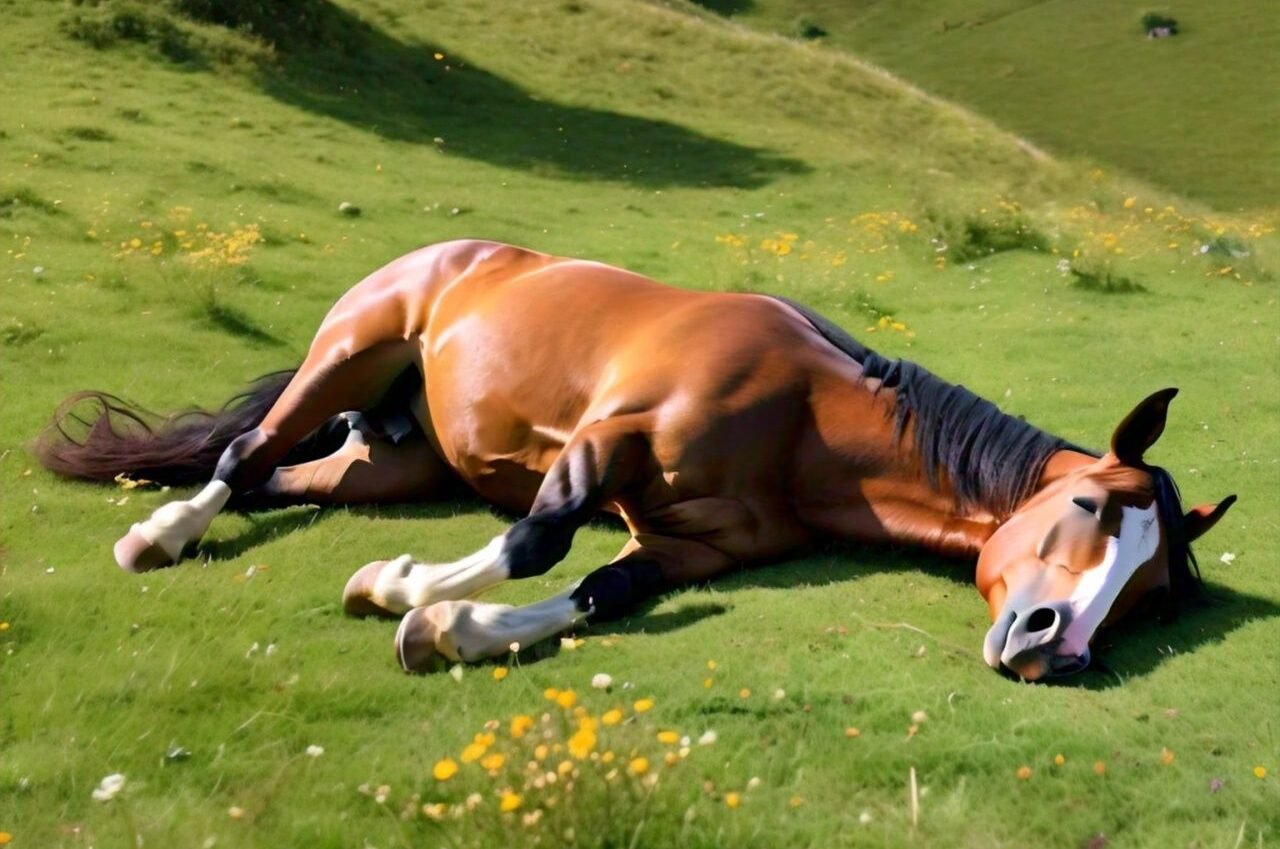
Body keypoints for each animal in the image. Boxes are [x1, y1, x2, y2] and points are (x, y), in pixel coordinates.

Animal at [40, 239, 1233, 686]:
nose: (1056, 645)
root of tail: (454, 252)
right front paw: (412, 590)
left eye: (1153, 594)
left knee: (279, 477)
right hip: (349, 350)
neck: (805, 424)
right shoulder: (605, 442)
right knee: (248, 450)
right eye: (1091, 504)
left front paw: (439, 619)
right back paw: (159, 535)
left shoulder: (697, 547)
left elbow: (598, 591)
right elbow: (537, 536)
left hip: (388, 465)